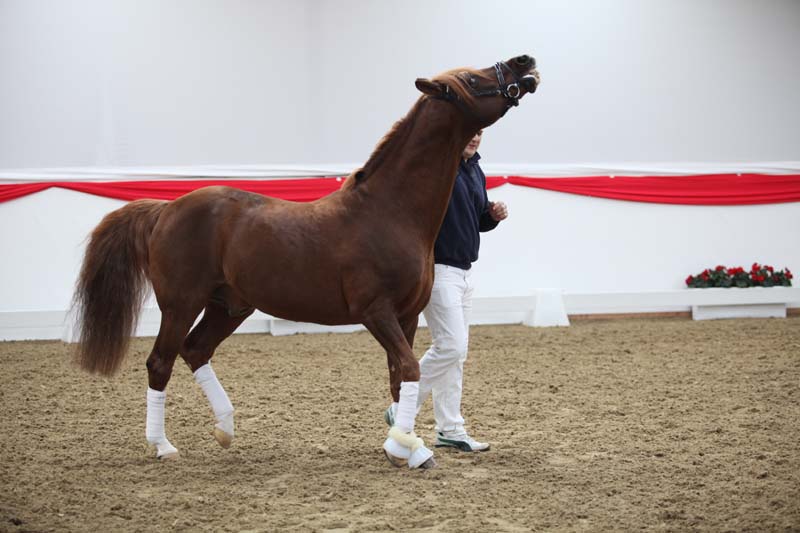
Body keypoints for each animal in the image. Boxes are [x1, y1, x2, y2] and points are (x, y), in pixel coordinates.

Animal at [73, 55, 540, 469]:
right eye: (472, 79)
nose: (524, 62)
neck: (390, 211)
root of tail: (165, 210)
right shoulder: (376, 312)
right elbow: (409, 368)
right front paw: (412, 449)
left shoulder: (407, 316)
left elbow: (401, 376)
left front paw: (400, 447)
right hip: (181, 303)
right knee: (160, 362)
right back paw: (163, 446)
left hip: (230, 306)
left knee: (196, 349)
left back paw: (226, 428)